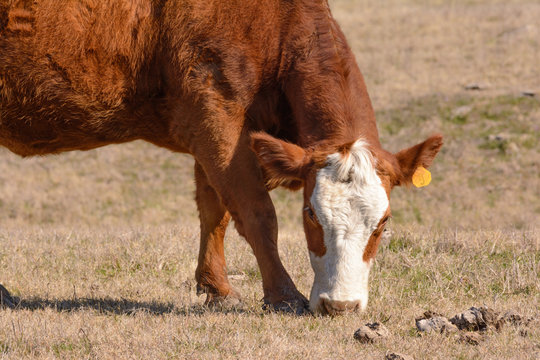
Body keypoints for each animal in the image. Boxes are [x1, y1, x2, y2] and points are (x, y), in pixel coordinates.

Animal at [0, 0, 442, 316]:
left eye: (384, 223)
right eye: (310, 215)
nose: (341, 305)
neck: (271, 24)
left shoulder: (213, 128)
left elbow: (215, 210)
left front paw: (217, 288)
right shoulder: (217, 114)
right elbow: (255, 211)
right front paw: (283, 295)